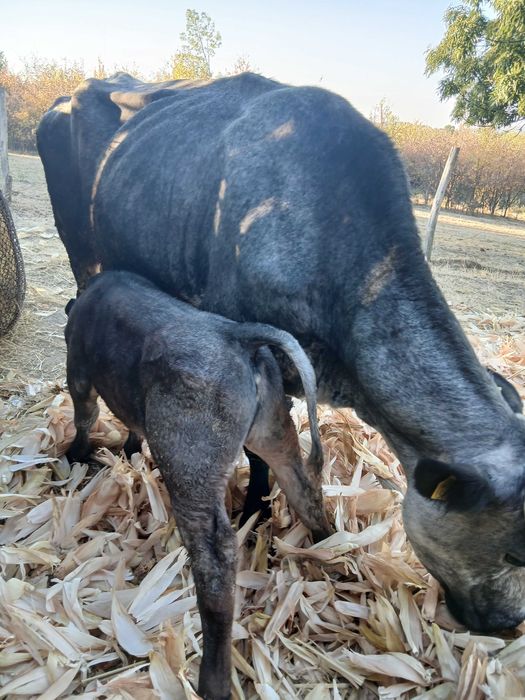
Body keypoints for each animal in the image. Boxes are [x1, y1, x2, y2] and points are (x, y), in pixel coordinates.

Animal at [65, 269, 330, 700]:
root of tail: (237, 336)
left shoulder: (79, 371)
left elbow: (85, 416)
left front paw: (74, 455)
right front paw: (130, 447)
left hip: (191, 467)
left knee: (215, 555)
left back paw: (213, 680)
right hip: (274, 433)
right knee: (302, 486)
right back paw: (328, 550)